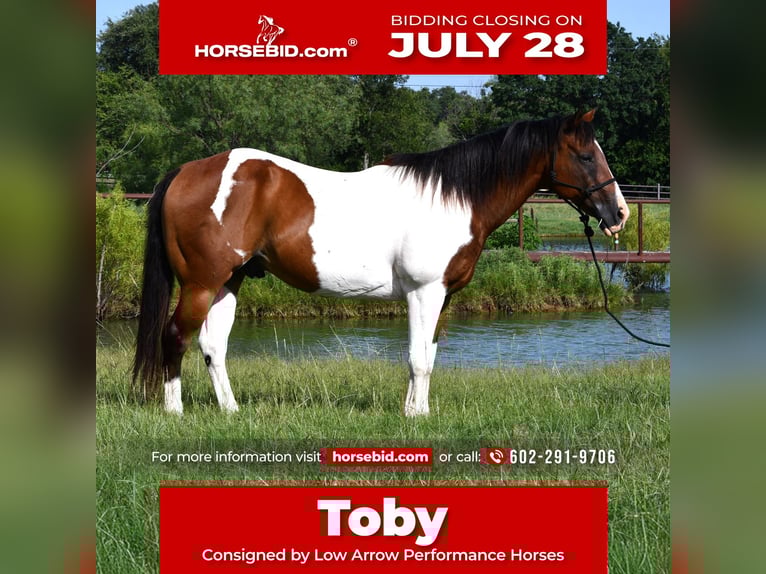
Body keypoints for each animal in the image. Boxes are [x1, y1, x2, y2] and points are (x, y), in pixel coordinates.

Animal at [133, 109, 629, 416]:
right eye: (586, 155)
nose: (619, 214)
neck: (451, 198)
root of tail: (187, 171)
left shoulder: (443, 298)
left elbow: (428, 354)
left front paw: (417, 410)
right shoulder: (424, 293)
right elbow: (418, 358)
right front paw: (416, 418)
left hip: (227, 282)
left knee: (212, 346)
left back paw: (232, 410)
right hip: (200, 283)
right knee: (174, 337)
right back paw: (175, 410)